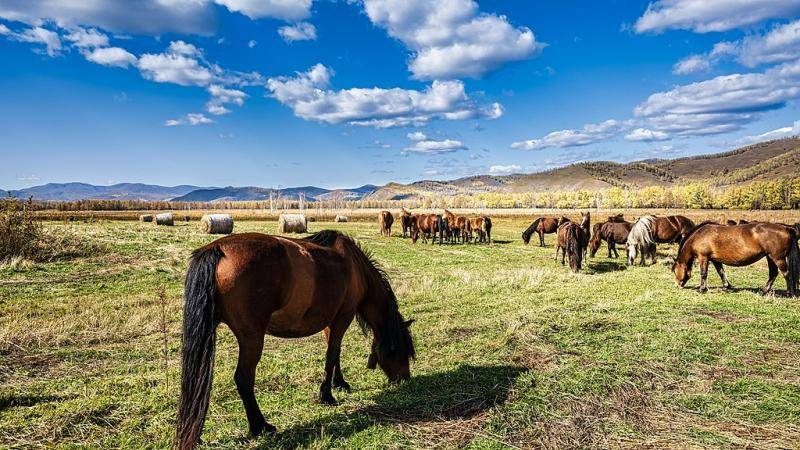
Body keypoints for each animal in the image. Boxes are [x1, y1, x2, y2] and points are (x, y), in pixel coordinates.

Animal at [177, 230, 416, 448]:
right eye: (397, 350)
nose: (405, 378)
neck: (356, 268)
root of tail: (216, 248)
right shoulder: (343, 316)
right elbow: (331, 354)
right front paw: (327, 395)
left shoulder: (330, 321)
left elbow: (336, 351)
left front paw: (339, 383)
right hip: (251, 337)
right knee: (243, 378)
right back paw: (260, 426)